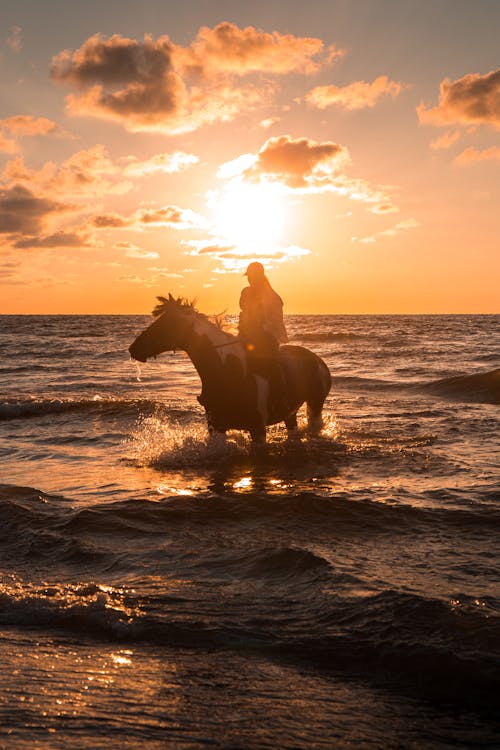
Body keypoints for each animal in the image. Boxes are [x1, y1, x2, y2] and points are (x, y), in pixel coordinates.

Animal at [129, 296, 332, 446]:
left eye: (168, 322)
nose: (133, 349)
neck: (227, 371)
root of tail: (317, 360)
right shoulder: (216, 427)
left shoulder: (257, 430)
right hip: (290, 414)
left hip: (315, 405)